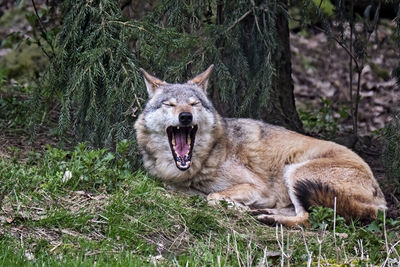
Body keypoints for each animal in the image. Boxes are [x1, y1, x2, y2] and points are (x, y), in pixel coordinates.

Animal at [135, 66, 388, 227]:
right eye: (169, 104)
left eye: (194, 103)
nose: (185, 117)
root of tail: (382, 200)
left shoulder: (259, 188)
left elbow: (213, 197)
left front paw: (238, 208)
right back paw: (265, 213)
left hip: (295, 171)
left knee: (306, 218)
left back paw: (268, 217)